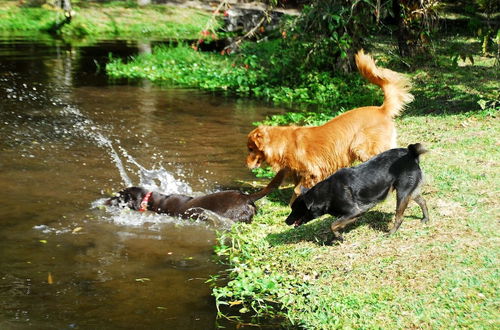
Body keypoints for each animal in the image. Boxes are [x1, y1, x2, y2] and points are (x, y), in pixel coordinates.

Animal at [246, 50, 414, 202]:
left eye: (250, 149)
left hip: (362, 148)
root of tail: (381, 109)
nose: (246, 164)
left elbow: (297, 191)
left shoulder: (312, 171)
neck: (283, 143)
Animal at [286, 144, 430, 240]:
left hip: (402, 193)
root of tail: (410, 154)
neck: (325, 194)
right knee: (423, 201)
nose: (286, 221)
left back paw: (390, 233)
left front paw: (339, 237)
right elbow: (337, 223)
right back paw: (425, 218)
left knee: (400, 218)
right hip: (410, 191)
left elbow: (333, 225)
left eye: (295, 209)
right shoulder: (351, 215)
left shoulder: (355, 211)